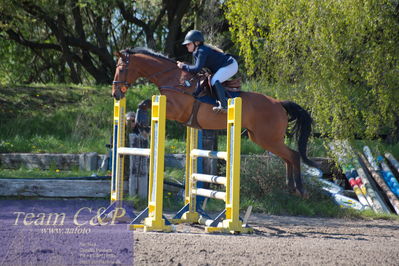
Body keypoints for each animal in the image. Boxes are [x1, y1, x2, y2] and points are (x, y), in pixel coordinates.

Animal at [112, 46, 318, 196]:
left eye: (121, 69)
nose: (115, 94)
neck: (173, 78)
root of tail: (279, 104)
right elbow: (144, 103)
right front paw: (141, 124)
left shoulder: (175, 110)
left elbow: (144, 102)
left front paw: (142, 123)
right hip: (262, 139)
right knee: (287, 157)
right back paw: (291, 187)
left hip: (268, 138)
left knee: (293, 155)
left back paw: (300, 190)